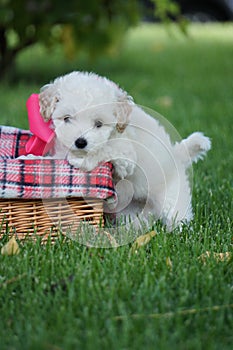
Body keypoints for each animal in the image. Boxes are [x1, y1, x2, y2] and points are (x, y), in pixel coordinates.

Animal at [38, 71, 211, 230]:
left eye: (99, 124)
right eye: (66, 118)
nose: (80, 142)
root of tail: (177, 154)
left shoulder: (125, 155)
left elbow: (105, 150)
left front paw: (82, 160)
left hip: (172, 197)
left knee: (177, 216)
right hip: (130, 208)